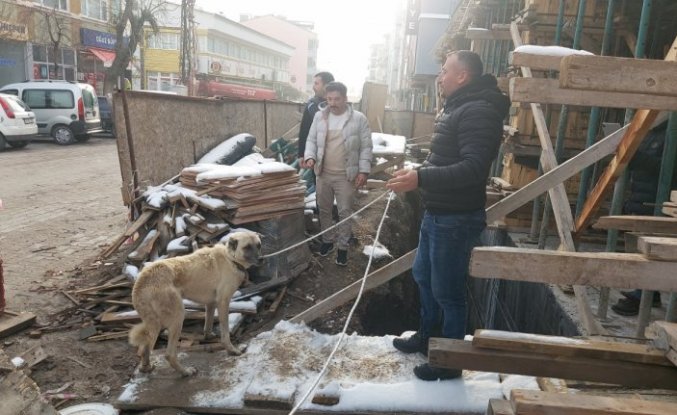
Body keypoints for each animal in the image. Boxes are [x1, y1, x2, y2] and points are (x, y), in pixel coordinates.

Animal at [129, 232, 262, 378]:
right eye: (247, 247)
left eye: (258, 245)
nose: (261, 259)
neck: (230, 258)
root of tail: (142, 282)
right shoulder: (223, 302)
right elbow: (225, 333)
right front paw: (232, 350)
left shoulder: (211, 303)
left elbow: (208, 323)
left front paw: (208, 337)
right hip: (178, 317)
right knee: (169, 354)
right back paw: (186, 371)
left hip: (155, 323)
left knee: (144, 348)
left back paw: (146, 368)